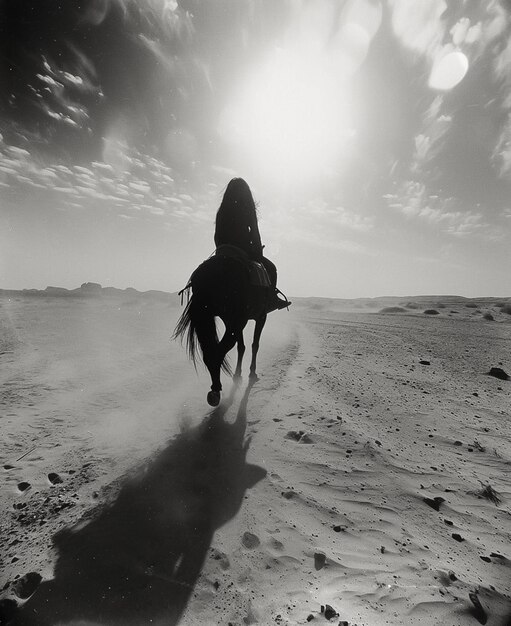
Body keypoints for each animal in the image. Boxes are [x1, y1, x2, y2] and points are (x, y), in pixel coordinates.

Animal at [175, 252, 272, 404]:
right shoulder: (261, 316)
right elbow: (254, 344)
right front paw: (251, 372)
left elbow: (242, 346)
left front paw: (238, 374)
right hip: (237, 318)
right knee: (220, 351)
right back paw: (216, 389)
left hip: (217, 317)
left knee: (211, 352)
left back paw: (215, 389)